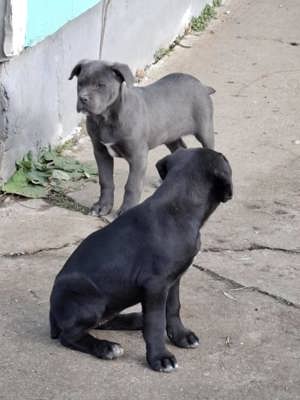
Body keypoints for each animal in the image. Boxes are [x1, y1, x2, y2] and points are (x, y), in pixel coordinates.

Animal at [49, 148, 232, 374]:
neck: (178, 208)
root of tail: (53, 313)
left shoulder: (173, 279)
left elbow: (173, 308)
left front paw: (180, 335)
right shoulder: (155, 285)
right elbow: (155, 323)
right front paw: (160, 357)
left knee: (102, 322)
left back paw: (135, 319)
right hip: (90, 301)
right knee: (70, 335)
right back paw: (106, 347)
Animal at [70, 59, 216, 216]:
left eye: (101, 85)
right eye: (80, 84)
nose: (83, 98)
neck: (105, 118)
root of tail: (202, 86)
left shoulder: (137, 156)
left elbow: (132, 185)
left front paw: (126, 209)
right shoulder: (101, 153)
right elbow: (106, 181)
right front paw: (102, 206)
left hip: (204, 129)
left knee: (210, 148)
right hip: (169, 135)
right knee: (180, 148)